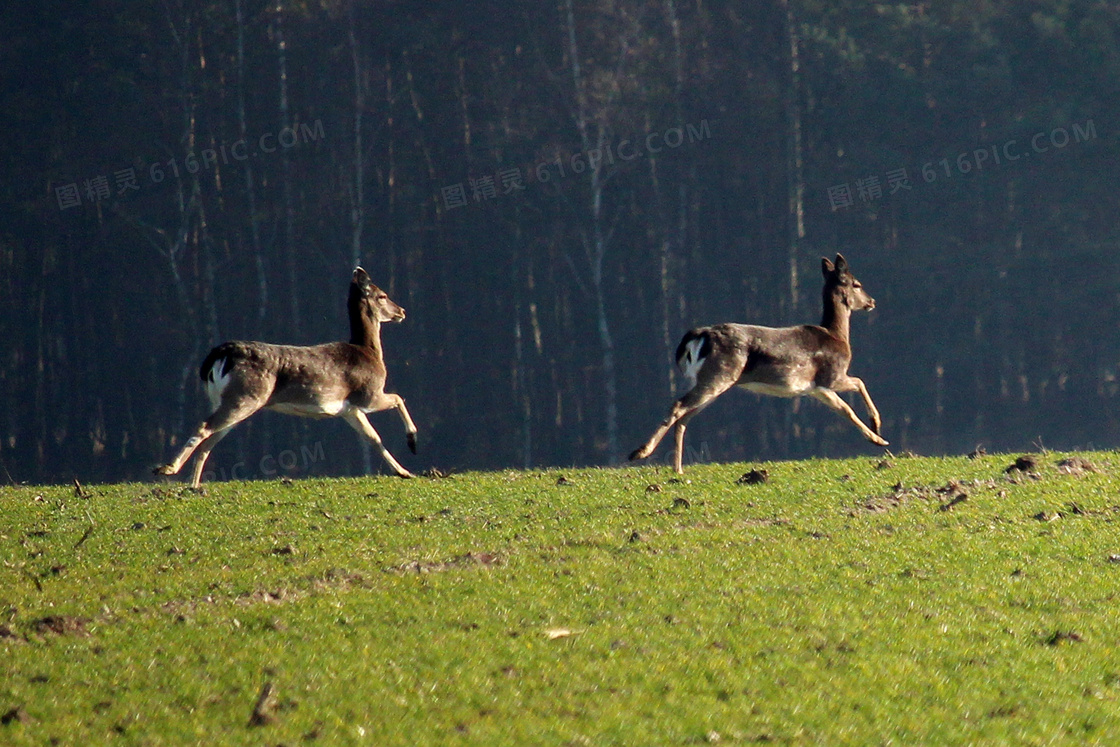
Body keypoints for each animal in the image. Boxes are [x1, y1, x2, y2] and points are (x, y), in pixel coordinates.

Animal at [154, 265, 421, 488]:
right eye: (382, 295)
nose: (402, 311)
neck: (369, 353)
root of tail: (218, 356)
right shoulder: (368, 394)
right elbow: (398, 398)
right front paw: (412, 442)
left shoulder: (349, 409)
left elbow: (373, 438)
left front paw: (403, 472)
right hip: (244, 396)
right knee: (204, 428)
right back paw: (167, 469)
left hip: (229, 400)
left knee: (209, 441)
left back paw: (194, 485)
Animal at [631, 253, 882, 472]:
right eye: (857, 284)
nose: (872, 301)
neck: (837, 335)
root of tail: (698, 336)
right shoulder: (832, 375)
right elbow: (860, 383)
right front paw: (877, 427)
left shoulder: (816, 388)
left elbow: (846, 410)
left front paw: (876, 439)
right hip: (718, 374)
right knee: (678, 406)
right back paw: (640, 452)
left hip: (710, 380)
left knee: (684, 417)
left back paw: (678, 469)